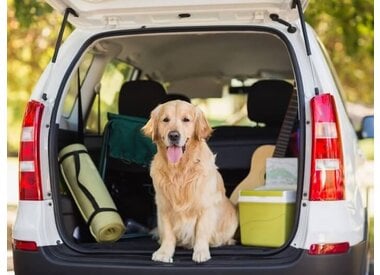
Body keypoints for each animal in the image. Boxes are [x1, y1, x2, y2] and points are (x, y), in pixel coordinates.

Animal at [142, 100, 238, 264]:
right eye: (165, 120)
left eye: (186, 120)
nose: (174, 135)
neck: (179, 170)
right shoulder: (164, 207)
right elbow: (168, 233)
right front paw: (164, 252)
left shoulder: (205, 206)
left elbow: (201, 231)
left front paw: (201, 252)